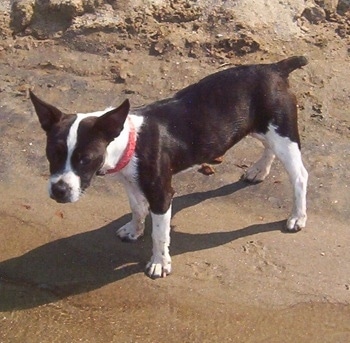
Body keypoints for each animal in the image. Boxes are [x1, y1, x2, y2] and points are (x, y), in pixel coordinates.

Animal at [30, 56, 308, 280]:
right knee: (268, 147)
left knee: (300, 176)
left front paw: (159, 264)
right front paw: (134, 230)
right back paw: (259, 170)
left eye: (84, 159)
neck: (130, 139)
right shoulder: (130, 180)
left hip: (283, 133)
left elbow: (160, 234)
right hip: (263, 128)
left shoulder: (161, 194)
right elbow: (136, 208)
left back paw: (297, 216)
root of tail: (275, 68)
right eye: (52, 154)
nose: (59, 191)